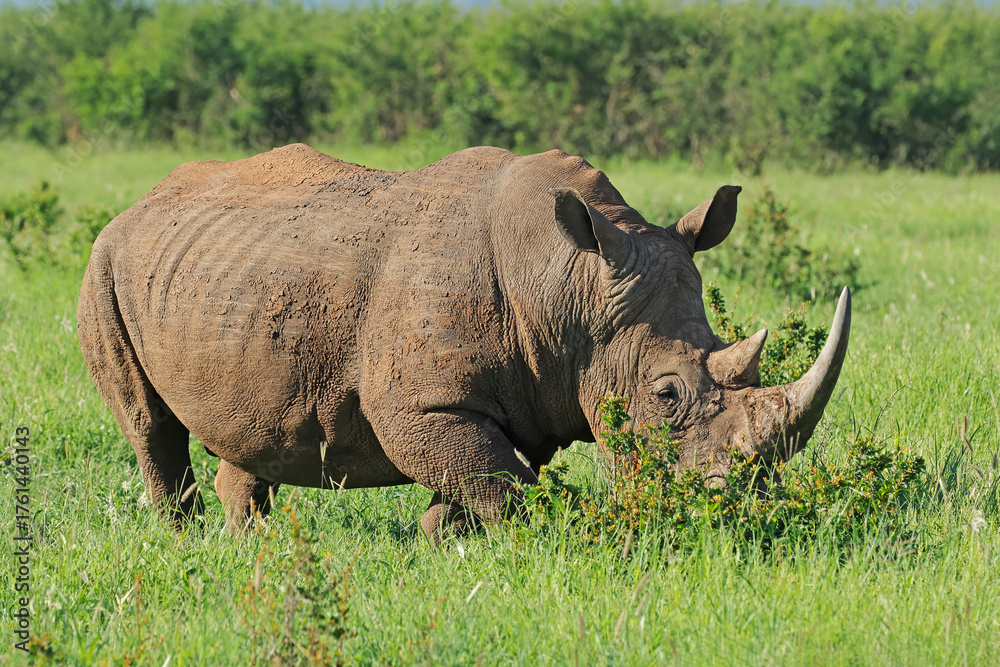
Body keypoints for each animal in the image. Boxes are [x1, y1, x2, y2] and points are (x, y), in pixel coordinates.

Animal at [77, 144, 850, 542]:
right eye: (666, 395)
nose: (738, 505)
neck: (570, 283)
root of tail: (140, 202)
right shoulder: (424, 403)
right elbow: (498, 480)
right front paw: (545, 540)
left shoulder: (532, 388)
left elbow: (487, 470)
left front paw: (439, 537)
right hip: (104, 265)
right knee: (148, 423)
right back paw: (185, 539)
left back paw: (251, 542)